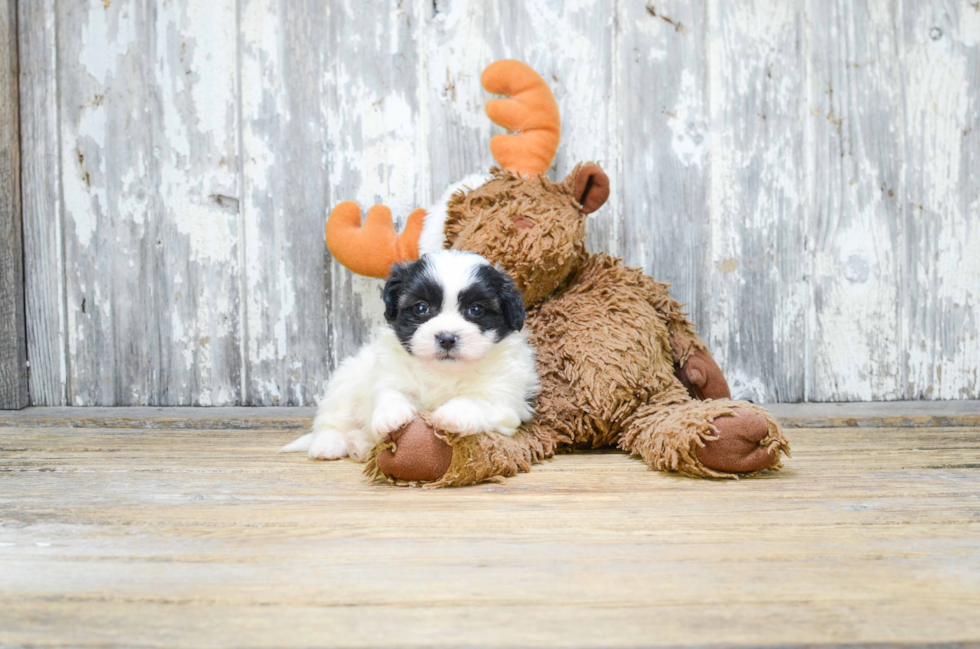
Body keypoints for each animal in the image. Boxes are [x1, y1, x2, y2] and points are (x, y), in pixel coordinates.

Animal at [278, 249, 536, 460]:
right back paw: (330, 443)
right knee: (333, 419)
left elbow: (478, 401)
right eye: (421, 308)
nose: (447, 338)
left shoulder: (504, 397)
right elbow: (390, 392)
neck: (443, 372)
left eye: (476, 310)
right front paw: (391, 414)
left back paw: (360, 445)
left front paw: (454, 413)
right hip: (347, 383)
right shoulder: (389, 373)